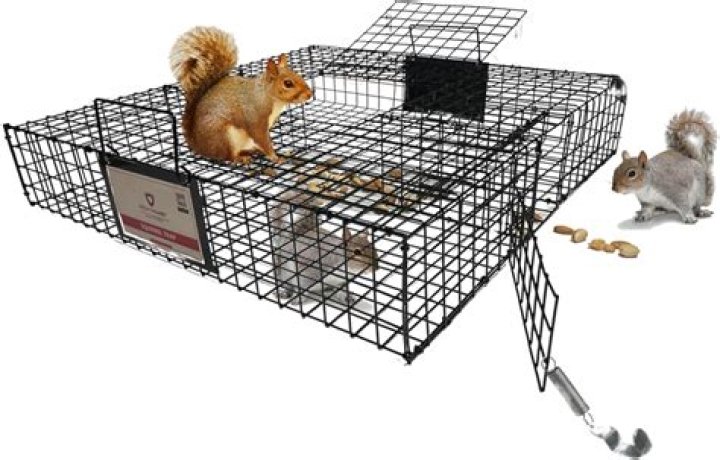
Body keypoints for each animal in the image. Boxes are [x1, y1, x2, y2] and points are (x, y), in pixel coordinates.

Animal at [169, 26, 313, 165]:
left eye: (297, 74)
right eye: (288, 83)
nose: (309, 94)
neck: (268, 96)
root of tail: (198, 145)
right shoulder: (255, 118)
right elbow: (261, 138)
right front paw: (275, 157)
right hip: (224, 137)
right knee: (228, 156)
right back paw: (240, 158)